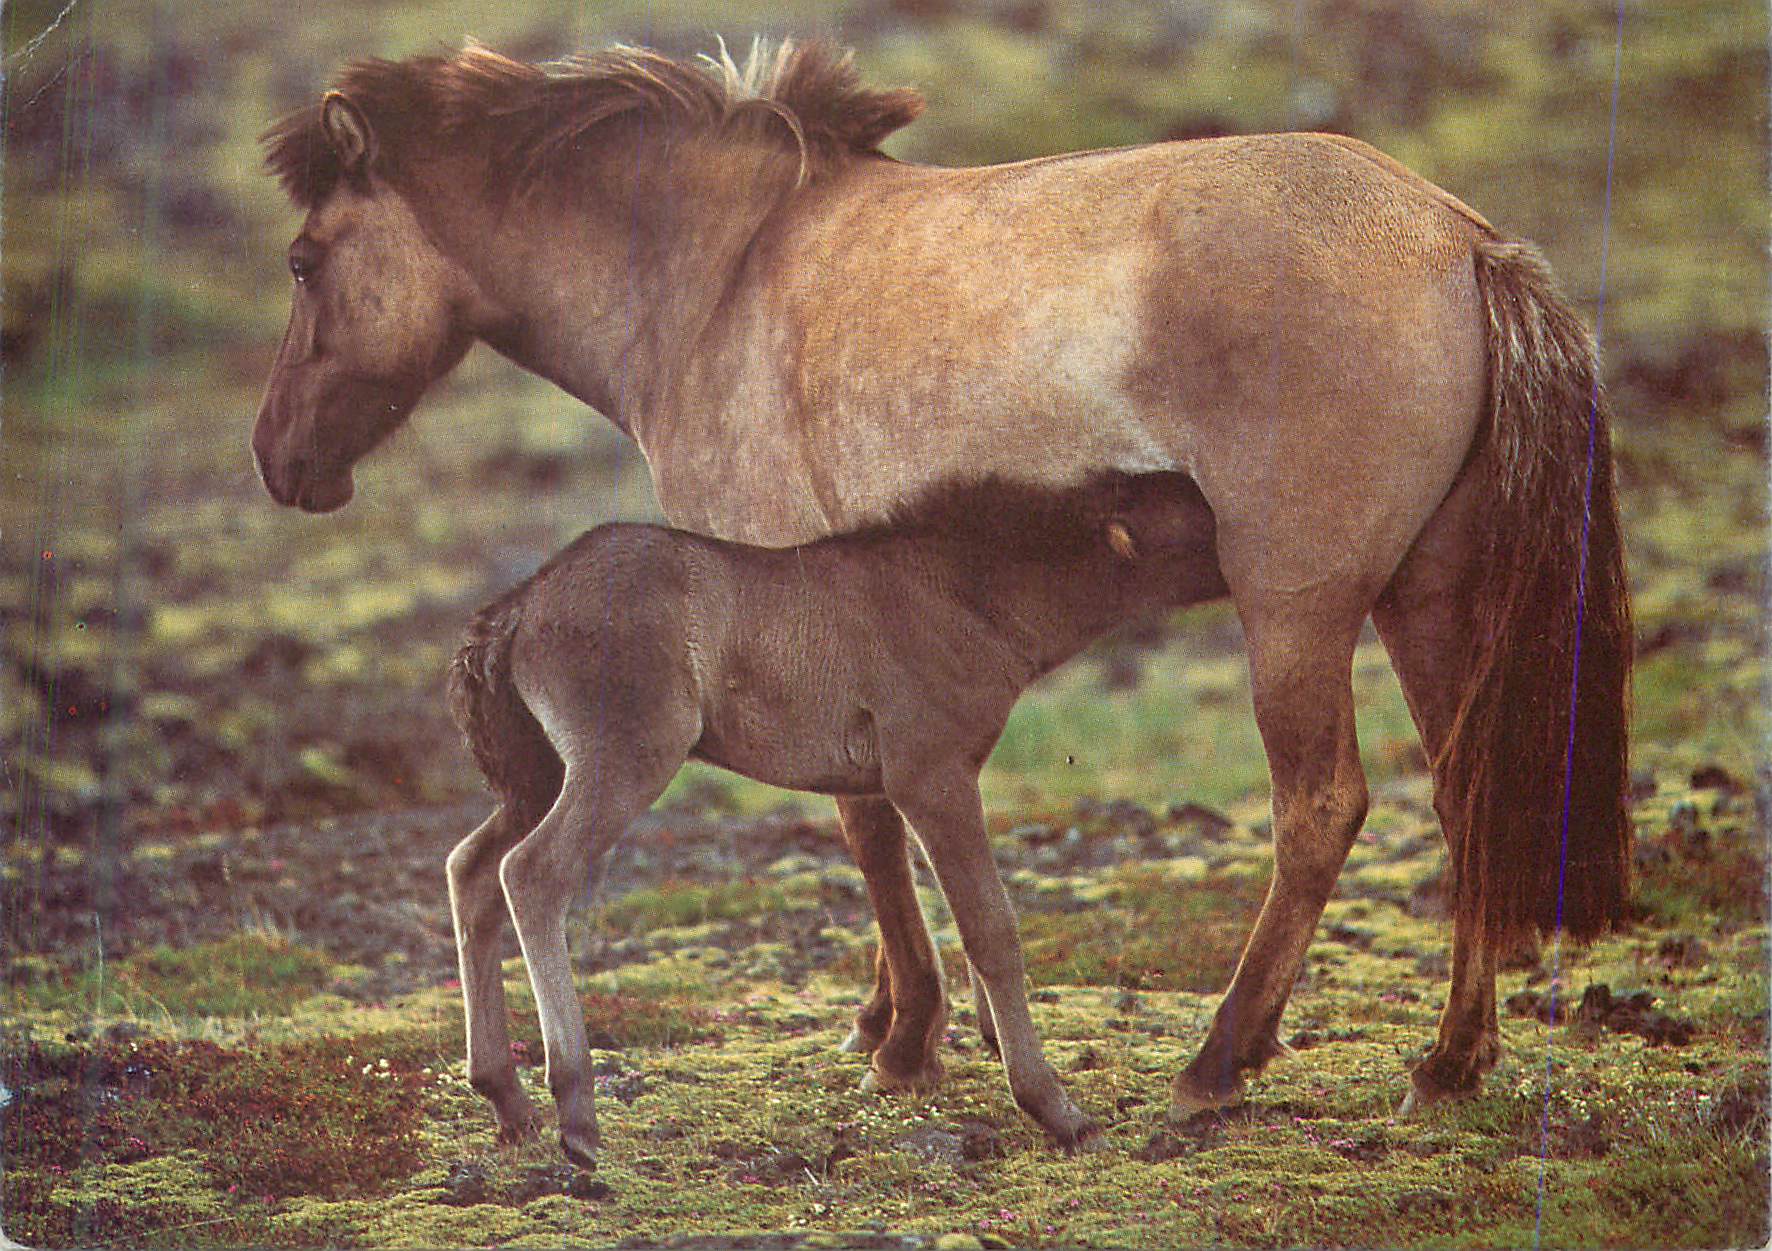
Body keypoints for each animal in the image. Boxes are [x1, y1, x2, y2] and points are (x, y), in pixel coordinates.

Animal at [447, 470, 1223, 1164]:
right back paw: (574, 1110)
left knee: (472, 867)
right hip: (624, 757)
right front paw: (1057, 1110)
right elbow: (991, 926)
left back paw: (506, 1097)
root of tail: (513, 611)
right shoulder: (931, 774)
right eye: (1201, 524)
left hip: (538, 775)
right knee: (532, 872)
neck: (966, 594)